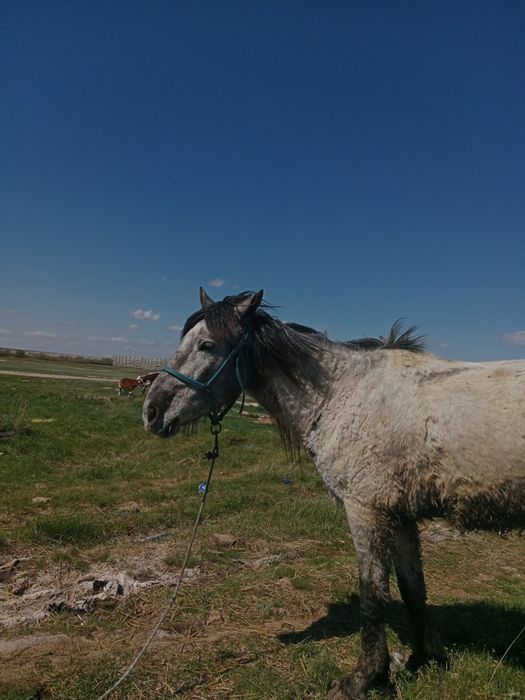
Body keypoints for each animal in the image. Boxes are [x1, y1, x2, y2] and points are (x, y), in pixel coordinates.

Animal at [142, 288, 525, 699]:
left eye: (207, 345)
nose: (151, 411)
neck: (342, 395)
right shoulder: (400, 515)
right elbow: (413, 589)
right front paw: (428, 658)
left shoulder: (366, 510)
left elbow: (373, 598)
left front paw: (363, 679)